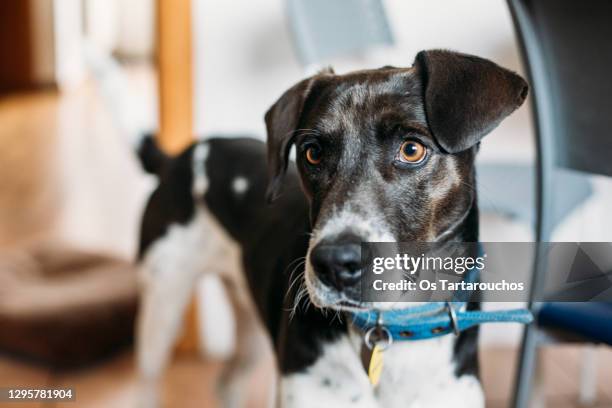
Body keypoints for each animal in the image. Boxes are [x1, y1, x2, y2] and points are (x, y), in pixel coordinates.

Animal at [136, 49, 528, 406]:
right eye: (312, 152)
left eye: (412, 149)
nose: (335, 264)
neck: (392, 327)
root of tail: (180, 157)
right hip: (162, 306)